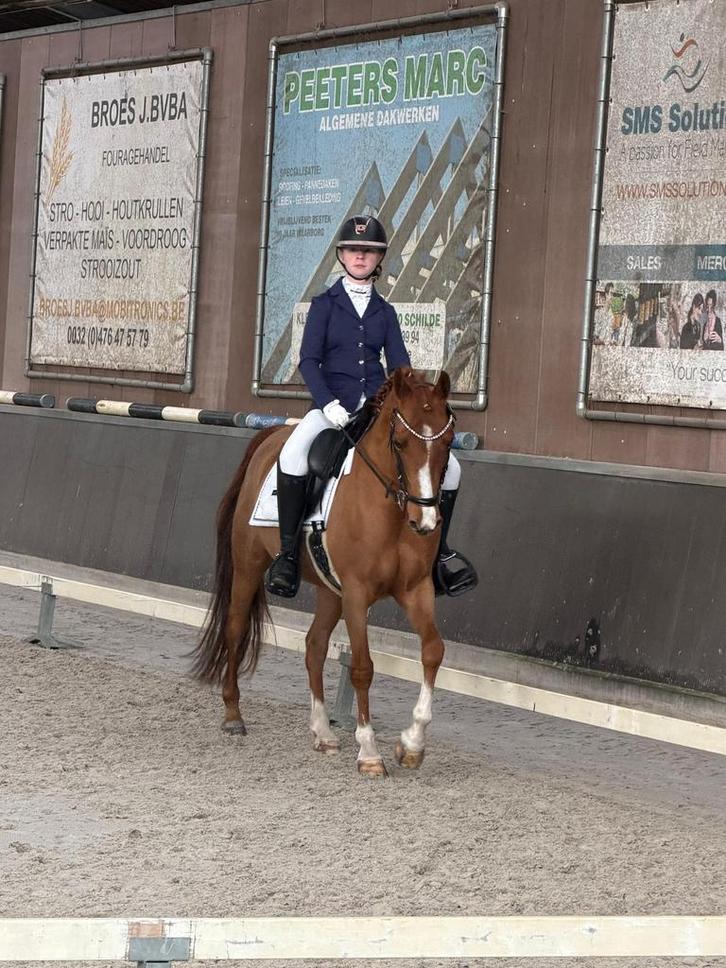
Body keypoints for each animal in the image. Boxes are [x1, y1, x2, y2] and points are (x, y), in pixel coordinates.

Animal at [191, 367, 456, 777]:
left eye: (447, 442)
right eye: (399, 443)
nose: (425, 521)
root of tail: (273, 436)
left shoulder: (416, 589)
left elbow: (433, 651)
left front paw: (412, 744)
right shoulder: (357, 593)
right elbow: (362, 667)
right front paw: (369, 752)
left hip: (331, 590)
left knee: (314, 645)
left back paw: (322, 731)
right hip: (250, 565)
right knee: (235, 630)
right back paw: (233, 714)